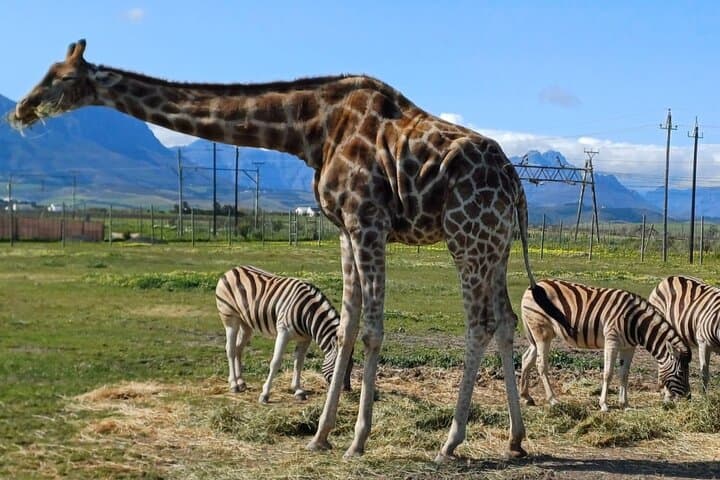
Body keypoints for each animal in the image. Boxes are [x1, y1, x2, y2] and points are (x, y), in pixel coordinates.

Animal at [10, 39, 537, 461]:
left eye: (61, 78)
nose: (20, 110)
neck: (310, 129)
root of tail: (515, 183)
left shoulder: (367, 219)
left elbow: (371, 330)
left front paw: (357, 440)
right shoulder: (344, 229)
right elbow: (346, 326)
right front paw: (321, 435)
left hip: (465, 237)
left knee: (479, 325)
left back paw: (450, 442)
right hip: (496, 245)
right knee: (506, 320)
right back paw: (515, 439)